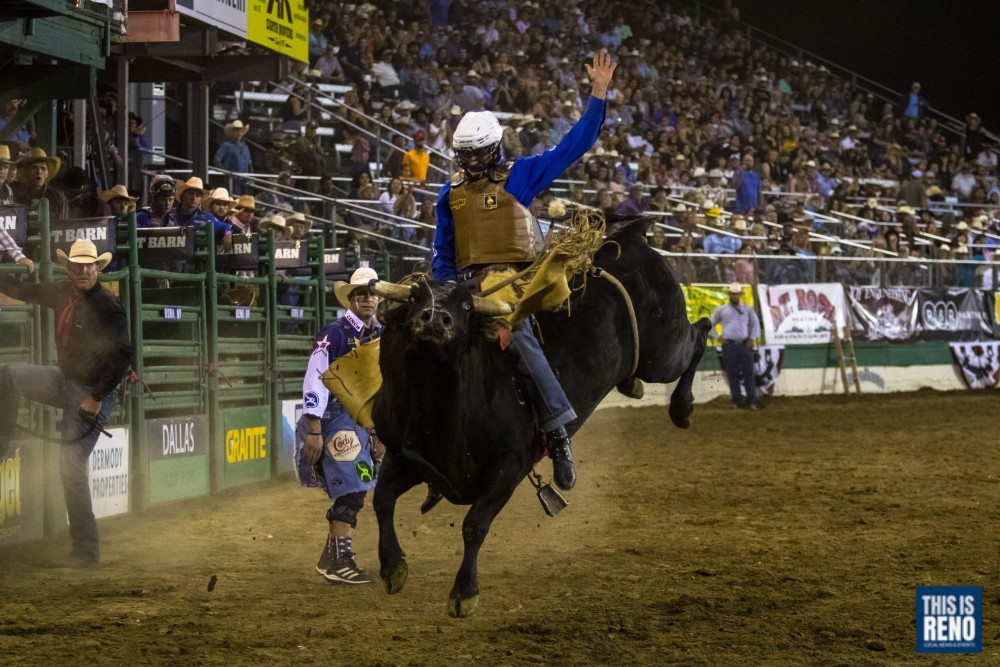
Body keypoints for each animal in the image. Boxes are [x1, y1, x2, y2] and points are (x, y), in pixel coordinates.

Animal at [370, 218, 712, 616]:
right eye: (414, 298)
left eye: (466, 306)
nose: (435, 319)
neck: (444, 405)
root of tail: (627, 236)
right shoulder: (403, 456)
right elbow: (382, 501)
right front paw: (392, 568)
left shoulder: (509, 466)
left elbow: (474, 525)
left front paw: (464, 592)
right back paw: (634, 386)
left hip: (664, 348)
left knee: (700, 333)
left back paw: (682, 408)